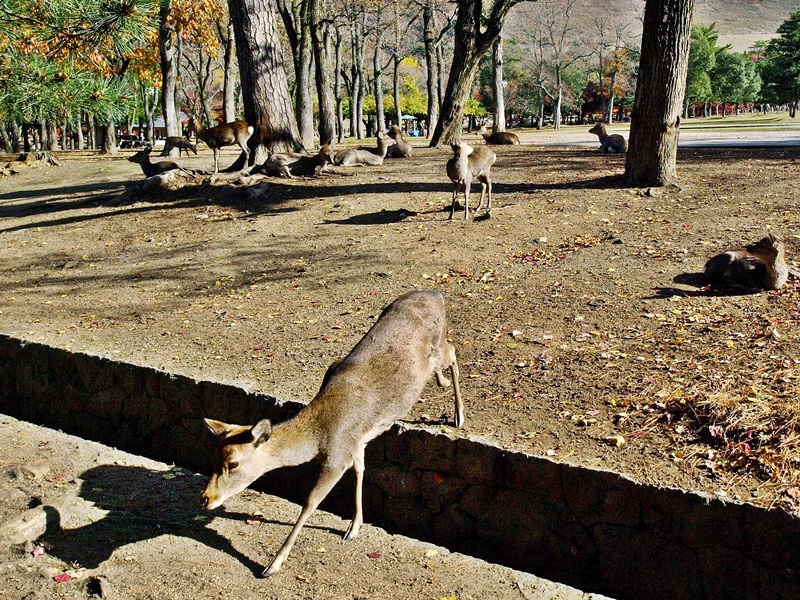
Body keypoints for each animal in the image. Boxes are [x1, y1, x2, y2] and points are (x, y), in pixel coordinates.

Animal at [200, 290, 462, 576]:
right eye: (212, 456)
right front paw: (354, 528)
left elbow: (311, 501)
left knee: (453, 351)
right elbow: (360, 471)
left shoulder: (337, 456)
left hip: (439, 345)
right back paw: (442, 383)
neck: (320, 435)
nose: (205, 498)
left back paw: (458, 415)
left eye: (233, 463)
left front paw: (272, 565)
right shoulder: (355, 442)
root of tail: (437, 294)